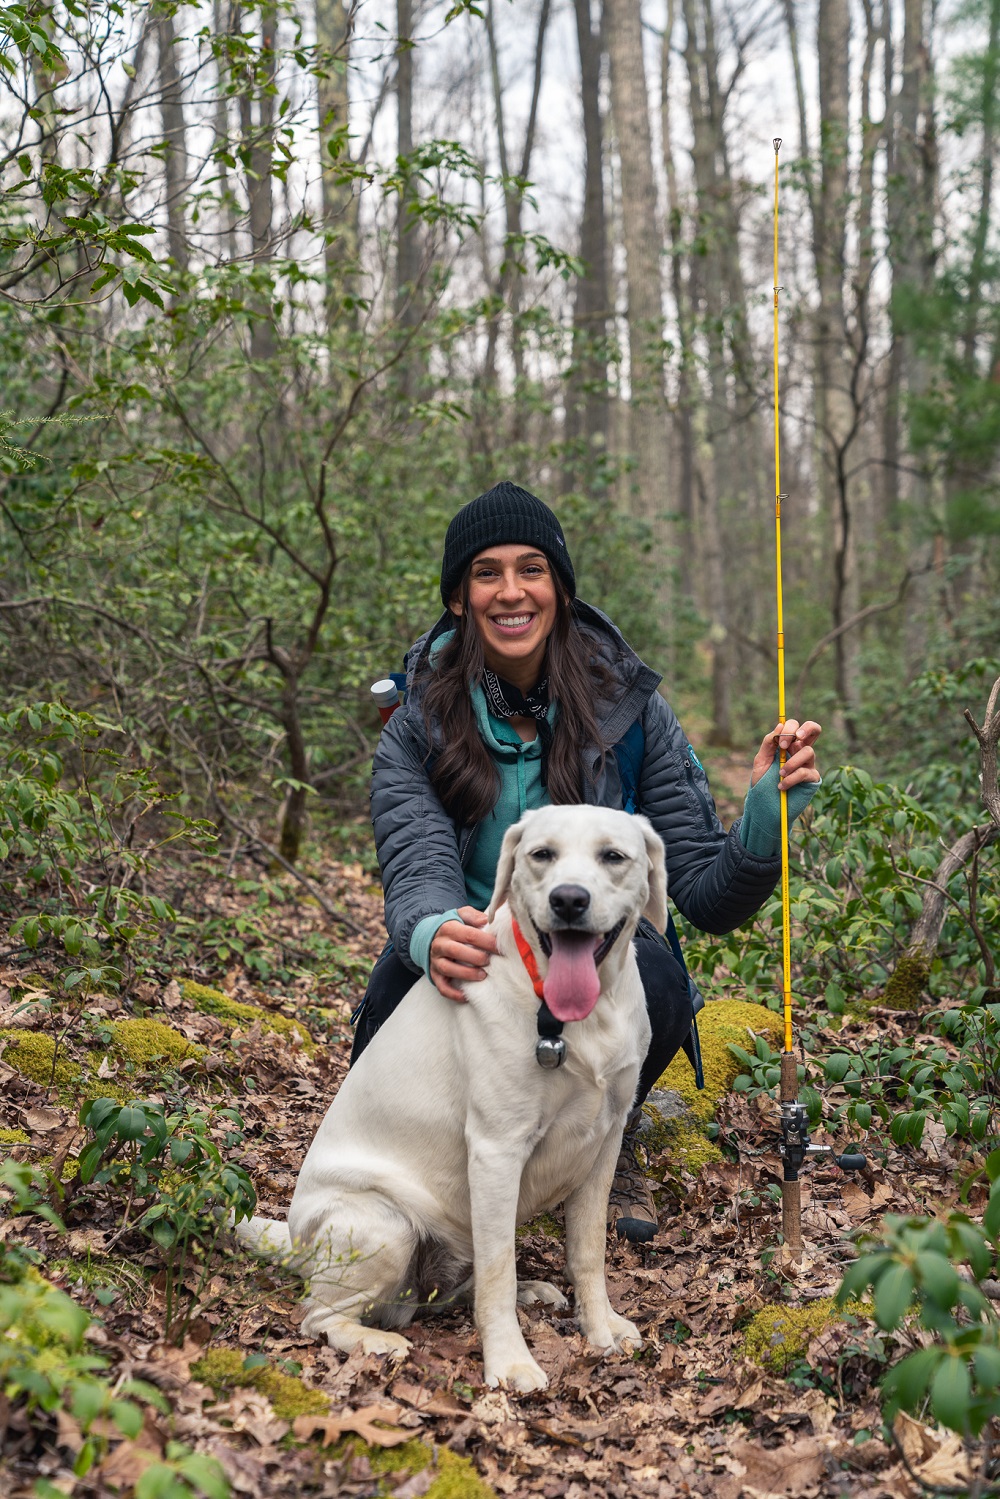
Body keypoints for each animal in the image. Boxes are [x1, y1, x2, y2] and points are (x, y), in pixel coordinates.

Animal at [236, 809, 665, 1391]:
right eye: (542, 855)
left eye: (613, 856)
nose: (569, 900)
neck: (579, 1017)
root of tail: (296, 1242)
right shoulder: (496, 1150)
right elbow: (497, 1276)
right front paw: (510, 1362)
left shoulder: (605, 1141)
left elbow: (588, 1255)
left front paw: (601, 1330)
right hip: (386, 1224)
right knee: (321, 1317)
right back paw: (378, 1342)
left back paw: (534, 1291)